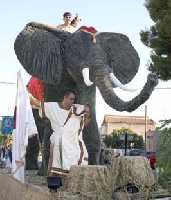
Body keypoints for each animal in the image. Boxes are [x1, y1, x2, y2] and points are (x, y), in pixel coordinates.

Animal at [14, 21, 158, 165]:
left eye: (107, 54)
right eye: (77, 53)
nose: (153, 77)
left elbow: (89, 118)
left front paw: (93, 166)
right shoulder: (54, 76)